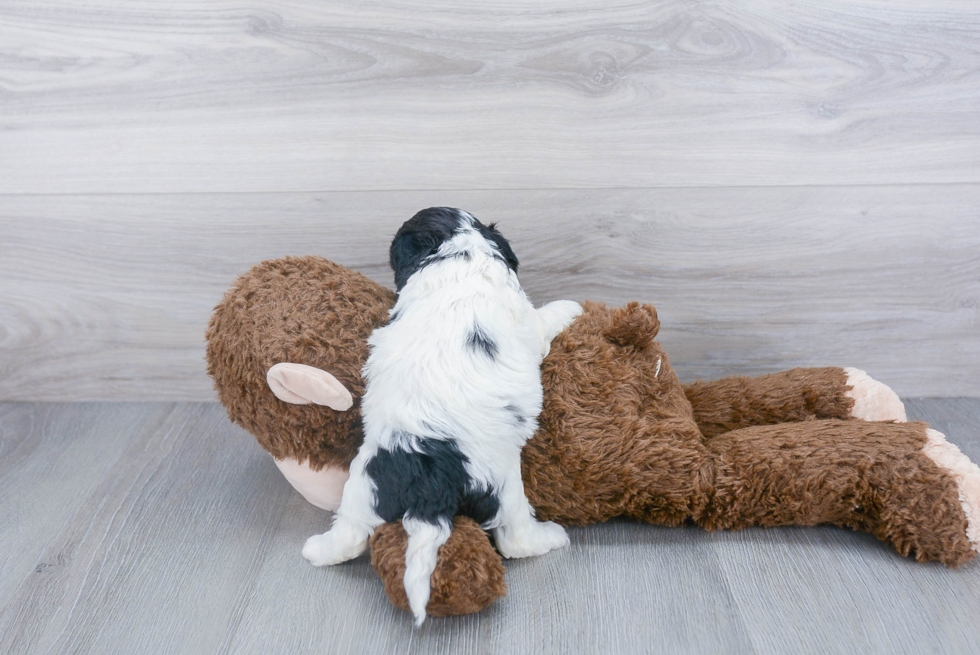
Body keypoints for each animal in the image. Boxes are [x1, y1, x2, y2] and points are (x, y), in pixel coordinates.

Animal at [302, 208, 580, 624]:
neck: (456, 253)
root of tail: (427, 480)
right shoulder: (527, 320)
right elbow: (545, 317)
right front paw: (572, 307)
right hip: (503, 486)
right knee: (514, 538)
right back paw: (551, 537)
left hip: (364, 482)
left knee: (349, 534)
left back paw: (316, 550)